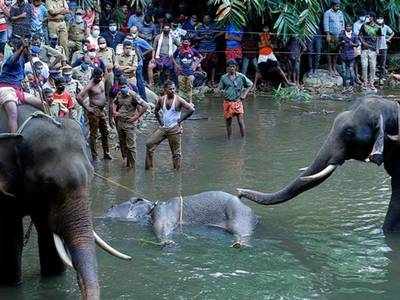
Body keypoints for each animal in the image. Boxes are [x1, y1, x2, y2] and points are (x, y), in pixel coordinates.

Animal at [104, 192, 260, 246]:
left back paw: (239, 244)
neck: (151, 208)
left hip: (239, 217)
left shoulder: (163, 214)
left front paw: (167, 242)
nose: (109, 207)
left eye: (113, 206)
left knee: (242, 233)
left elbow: (162, 228)